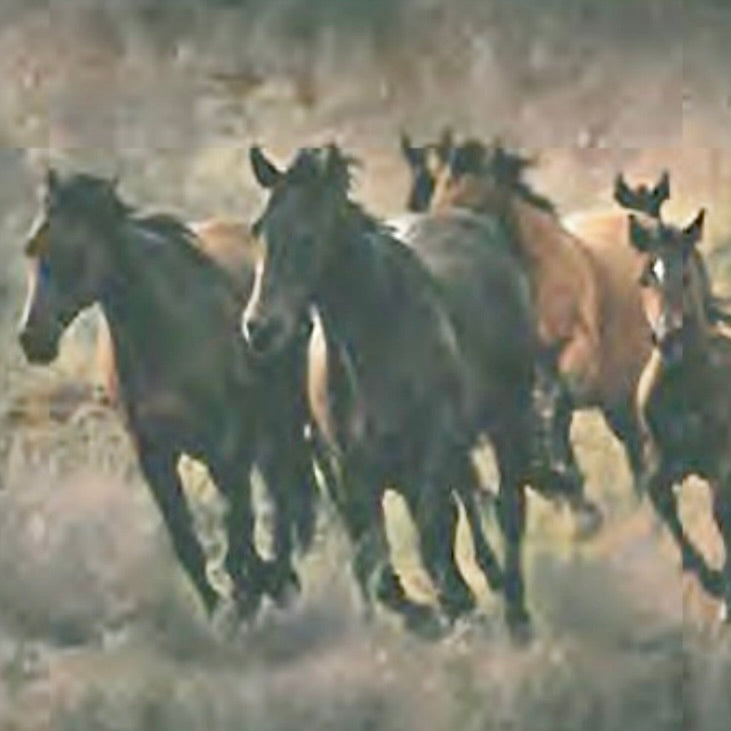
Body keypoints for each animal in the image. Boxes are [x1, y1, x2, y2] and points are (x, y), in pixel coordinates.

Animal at [18, 170, 318, 621]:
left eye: (75, 250)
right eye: (33, 247)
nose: (32, 339)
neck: (166, 328)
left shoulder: (228, 449)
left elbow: (238, 538)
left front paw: (247, 600)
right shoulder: (154, 455)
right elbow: (187, 543)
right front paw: (221, 611)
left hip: (276, 429)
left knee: (281, 505)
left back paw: (277, 581)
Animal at [242, 143, 590, 639]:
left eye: (307, 236)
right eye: (259, 229)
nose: (259, 327)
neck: (373, 339)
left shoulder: (432, 451)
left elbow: (433, 535)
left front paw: (458, 604)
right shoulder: (353, 471)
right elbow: (378, 566)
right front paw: (431, 614)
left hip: (506, 422)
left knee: (508, 508)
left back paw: (516, 612)